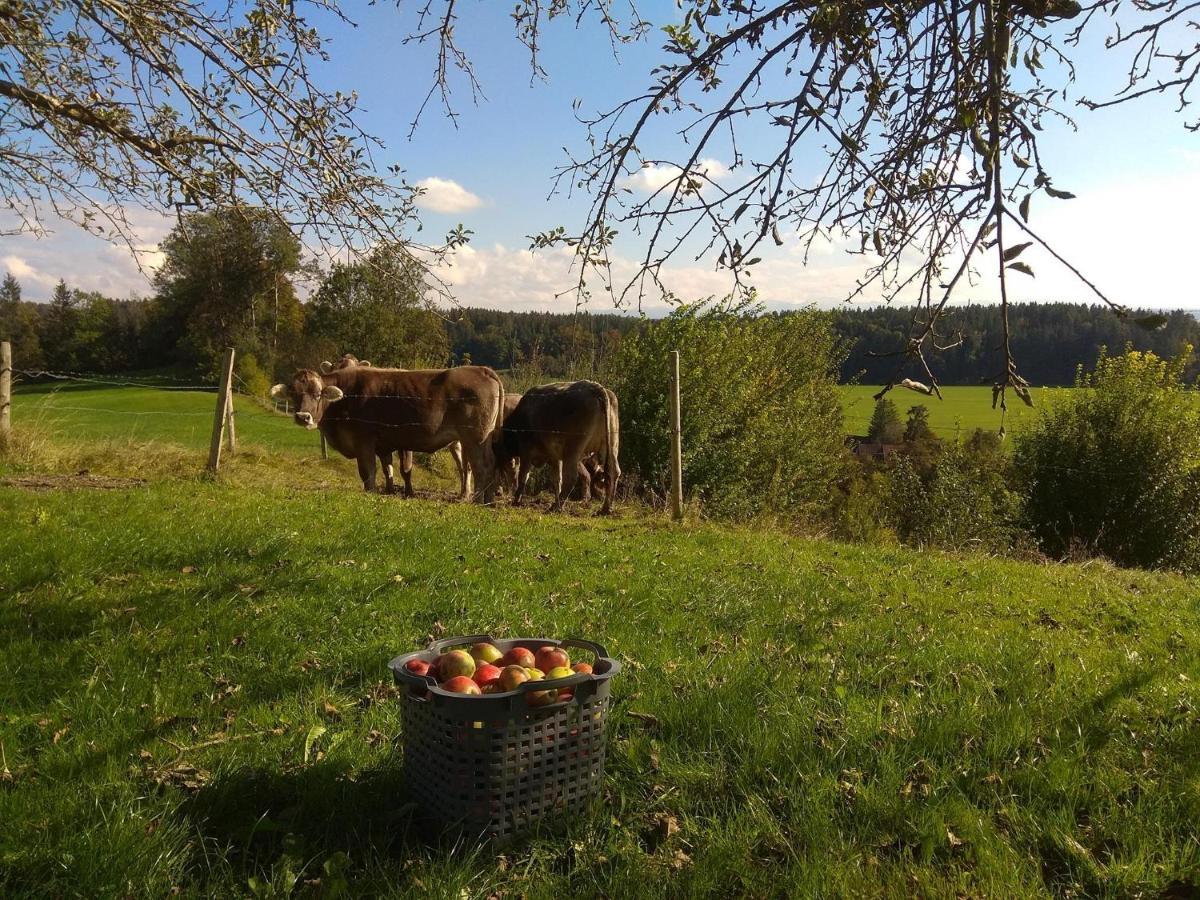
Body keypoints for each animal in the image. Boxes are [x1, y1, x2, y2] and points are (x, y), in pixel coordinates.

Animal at [273, 367, 506, 508]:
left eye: (317, 393)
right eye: (293, 393)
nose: (303, 416)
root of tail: (481, 369)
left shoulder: (364, 441)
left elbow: (368, 471)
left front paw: (370, 492)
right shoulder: (383, 445)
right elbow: (388, 469)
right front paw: (388, 491)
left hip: (474, 438)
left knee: (480, 466)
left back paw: (477, 500)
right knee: (490, 464)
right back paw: (488, 500)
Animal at [494, 381, 619, 513]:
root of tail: (596, 388)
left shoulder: (526, 451)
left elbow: (523, 476)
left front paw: (516, 499)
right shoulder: (555, 457)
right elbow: (556, 480)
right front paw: (556, 499)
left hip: (572, 450)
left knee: (571, 477)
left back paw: (558, 507)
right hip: (612, 446)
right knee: (614, 472)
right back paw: (605, 508)